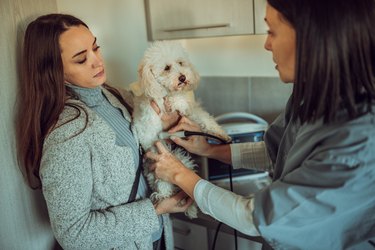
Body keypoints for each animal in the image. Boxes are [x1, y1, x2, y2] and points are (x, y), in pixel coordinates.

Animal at [132, 40, 232, 218]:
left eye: (180, 63)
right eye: (166, 68)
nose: (183, 77)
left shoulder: (192, 112)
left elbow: (204, 118)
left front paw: (221, 134)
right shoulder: (151, 121)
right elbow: (171, 101)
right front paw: (175, 100)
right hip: (160, 159)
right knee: (163, 185)